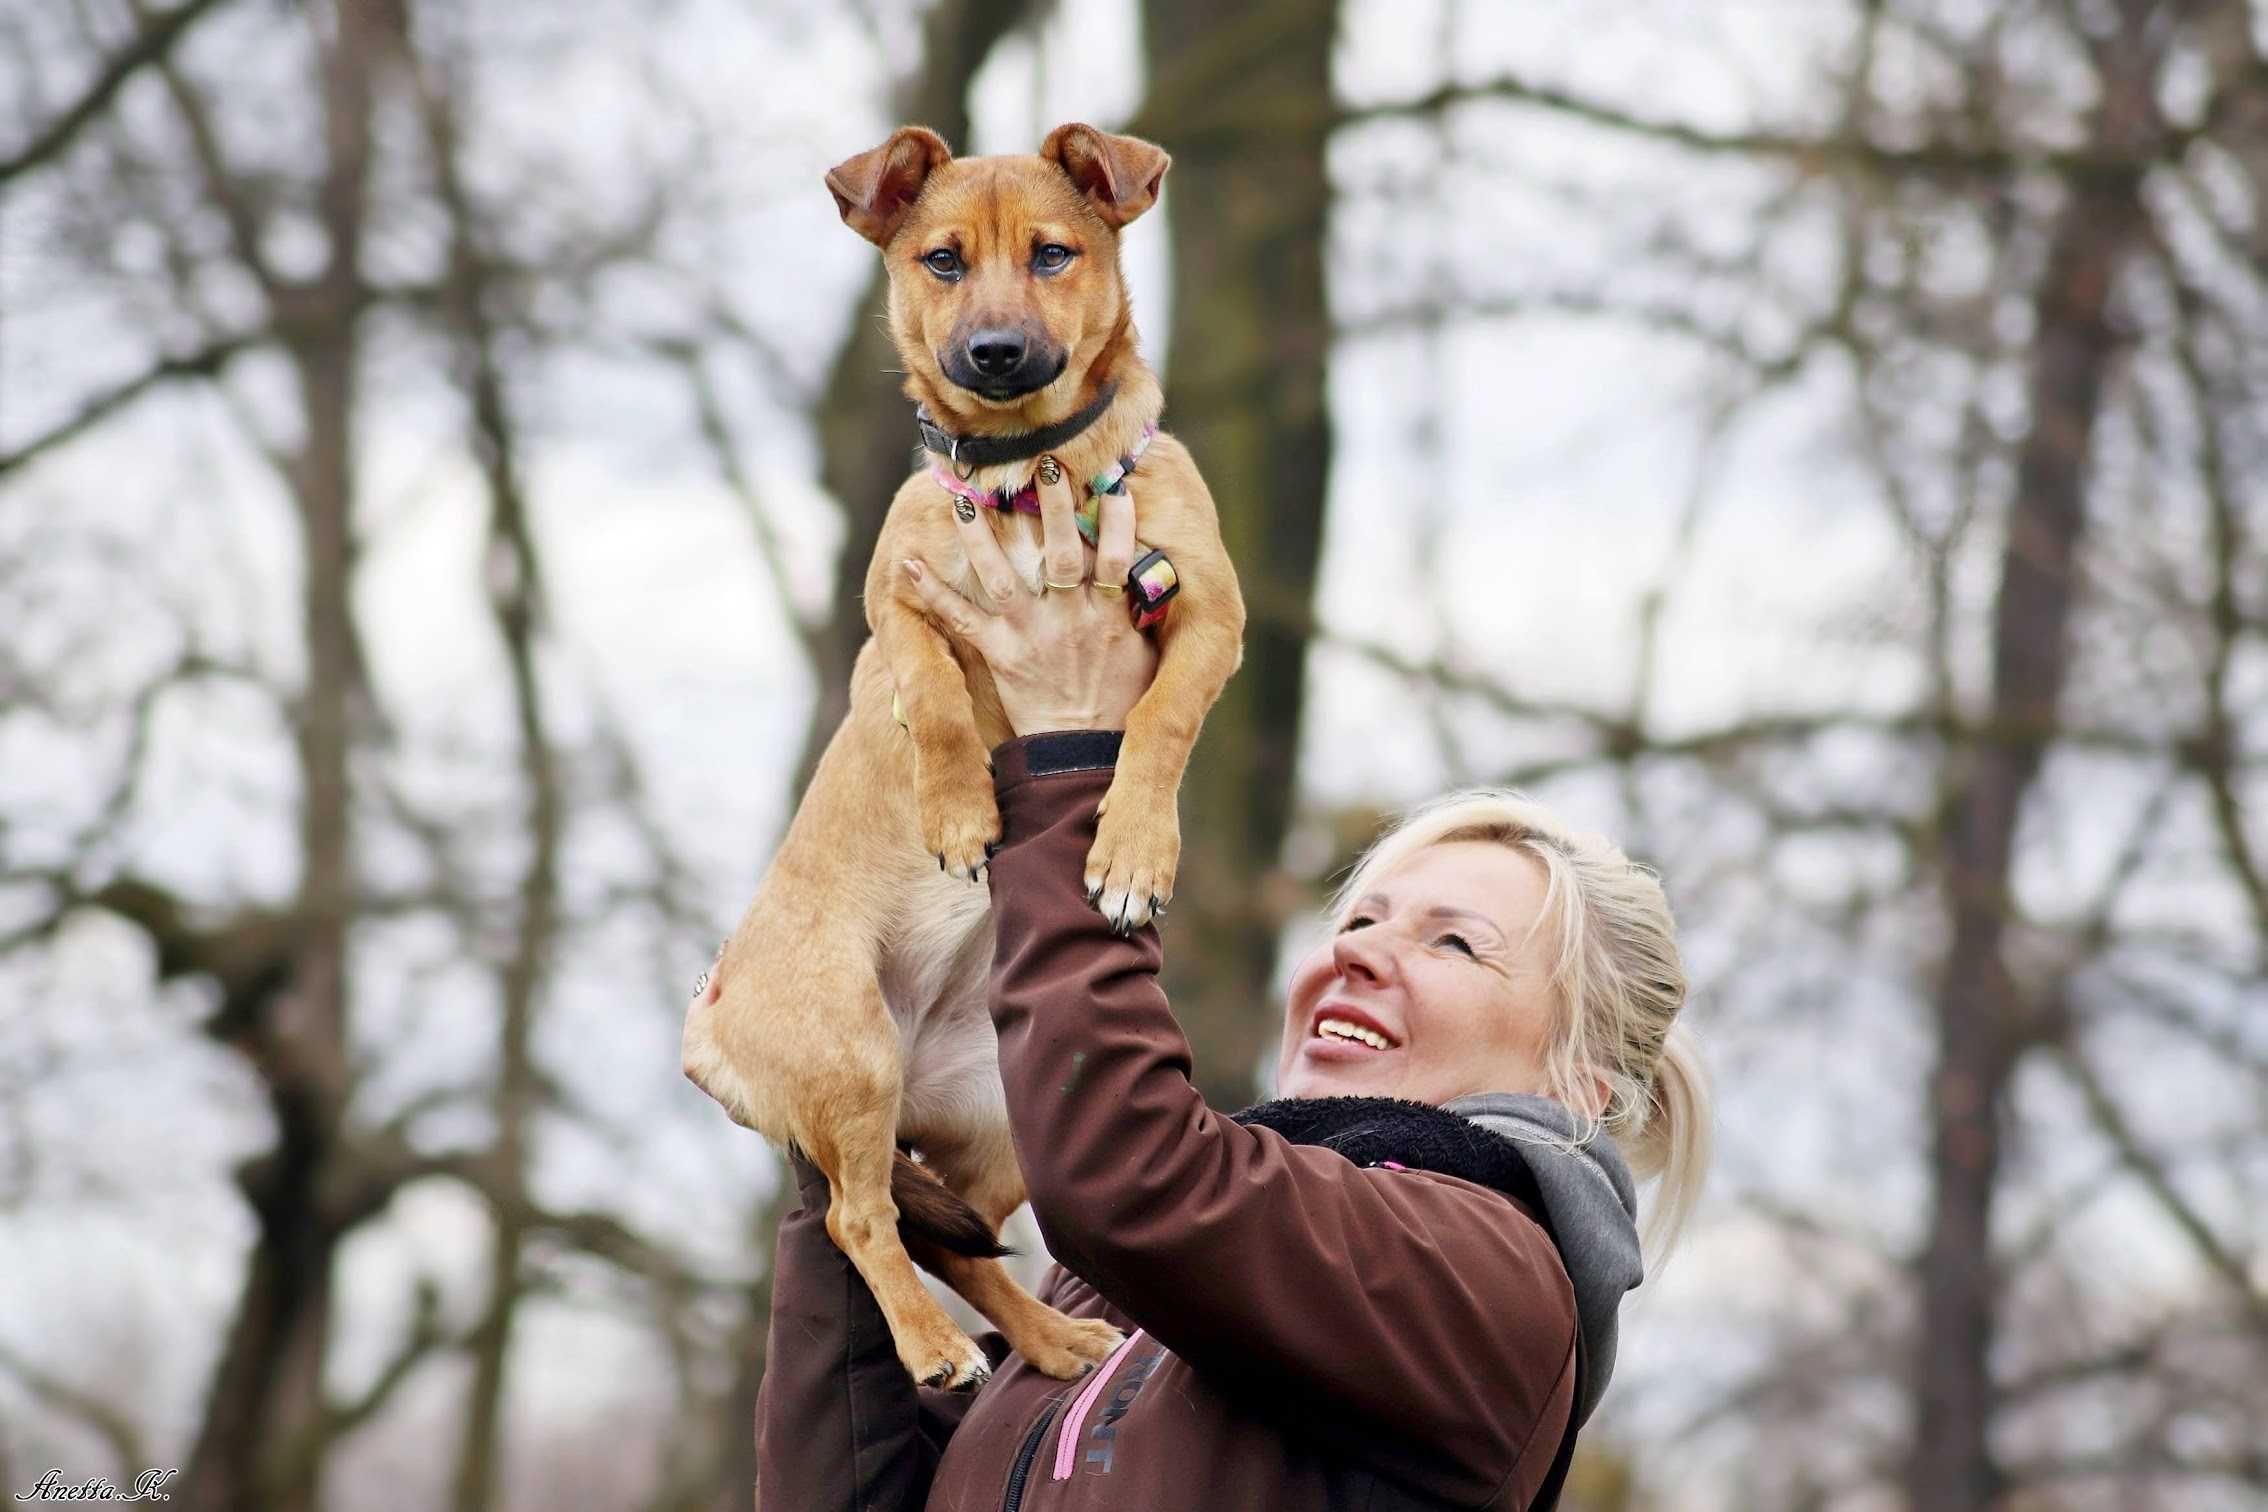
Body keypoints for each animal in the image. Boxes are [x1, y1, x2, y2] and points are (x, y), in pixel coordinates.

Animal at [680, 124, 1251, 1387]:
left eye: (1052, 255)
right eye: (940, 261)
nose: (993, 352)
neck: (1022, 472)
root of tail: (711, 1021)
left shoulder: (1209, 615)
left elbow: (1159, 726)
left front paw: (1131, 853)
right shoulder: (895, 600)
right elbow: (936, 695)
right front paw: (956, 814)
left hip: (1004, 1119)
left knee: (953, 1237)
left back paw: (1048, 1339)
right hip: (851, 1052)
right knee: (862, 1218)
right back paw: (936, 1346)